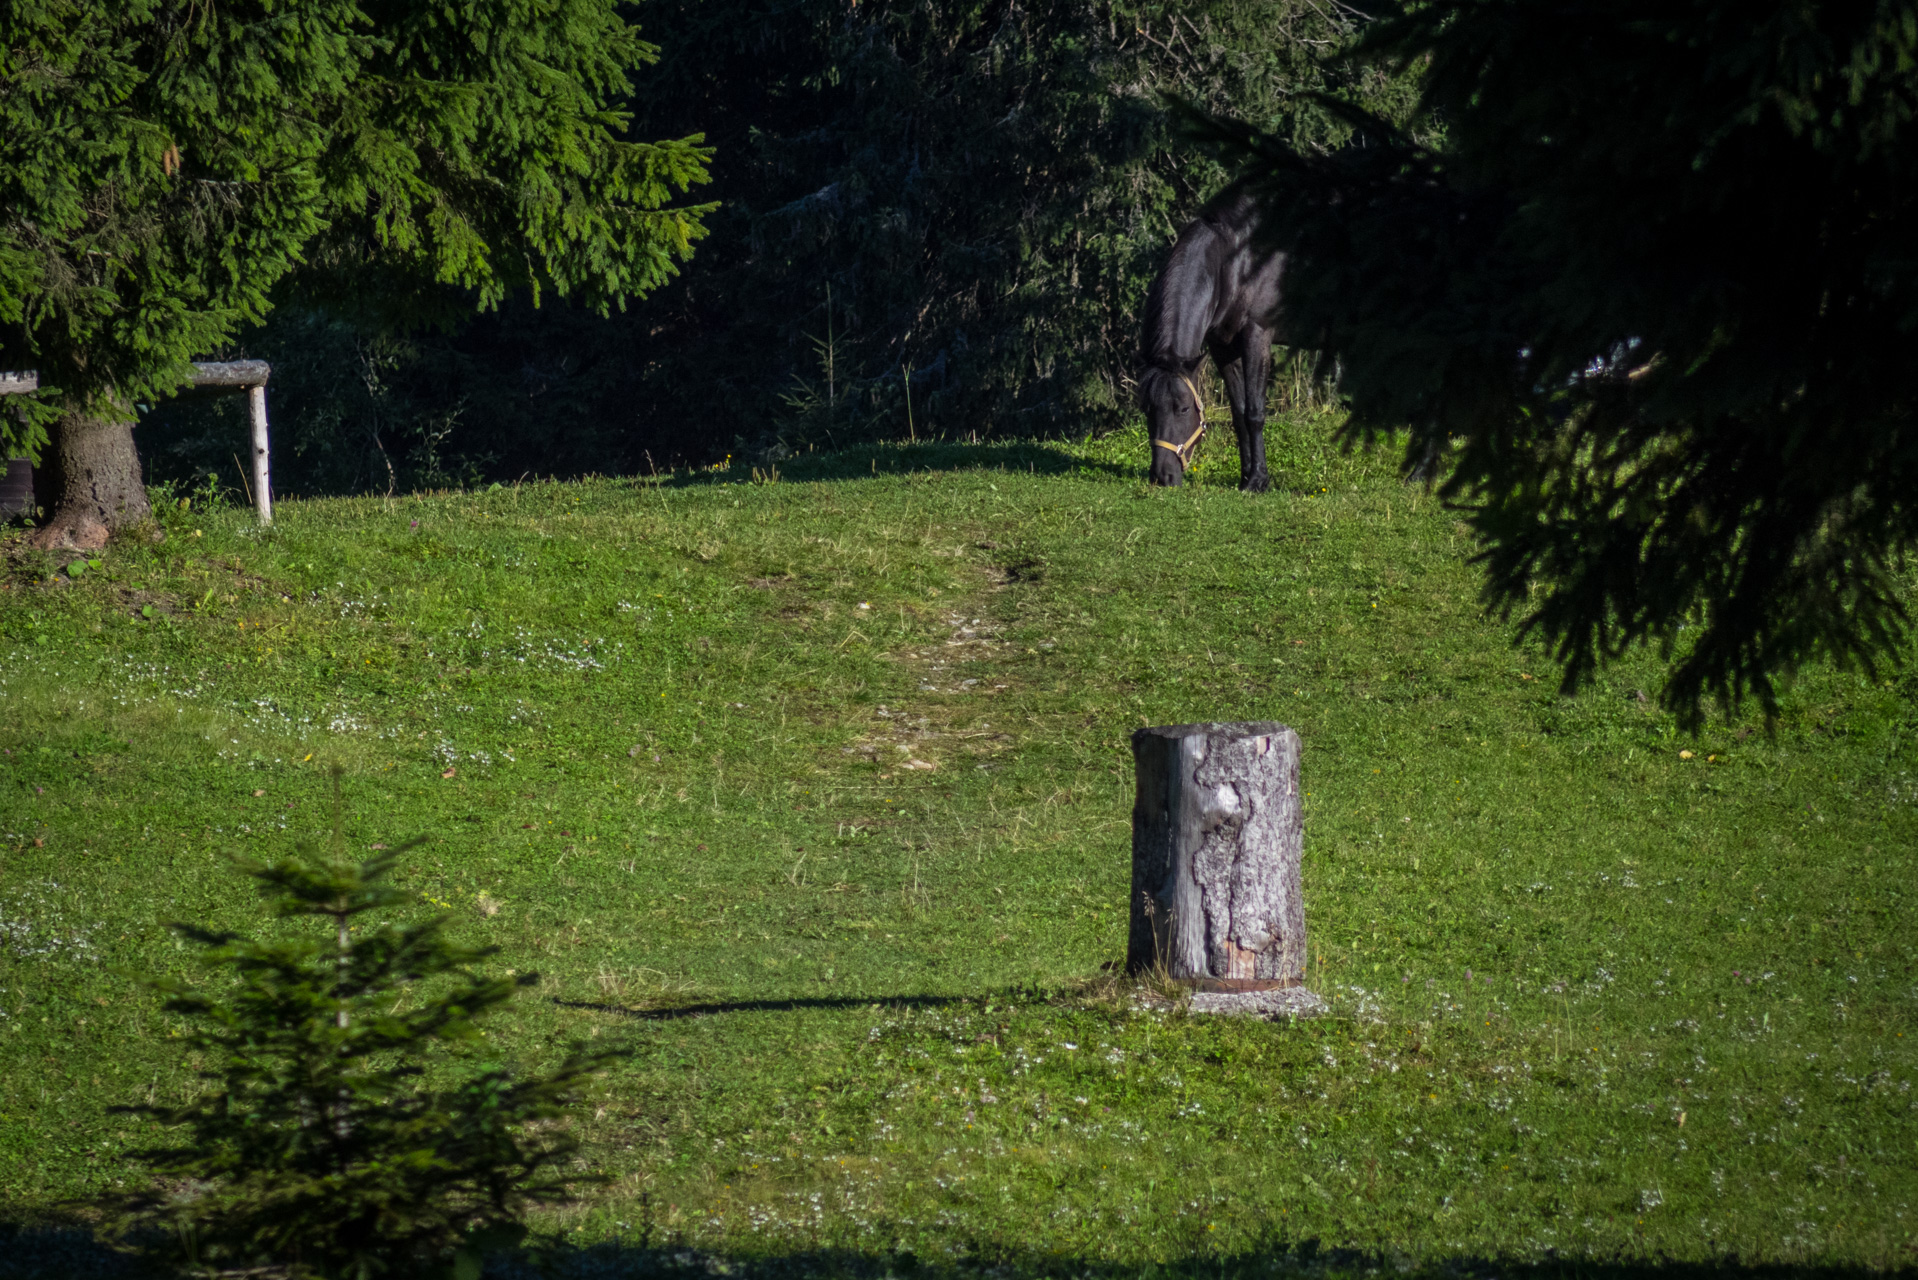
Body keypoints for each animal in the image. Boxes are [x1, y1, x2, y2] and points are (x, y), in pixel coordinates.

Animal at [1143, 188, 1281, 495]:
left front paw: (1258, 481)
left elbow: (1254, 413)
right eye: (1147, 409)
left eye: (1183, 408)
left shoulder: (1257, 335)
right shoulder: (1223, 347)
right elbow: (1239, 414)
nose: (1162, 477)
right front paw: (1245, 477)